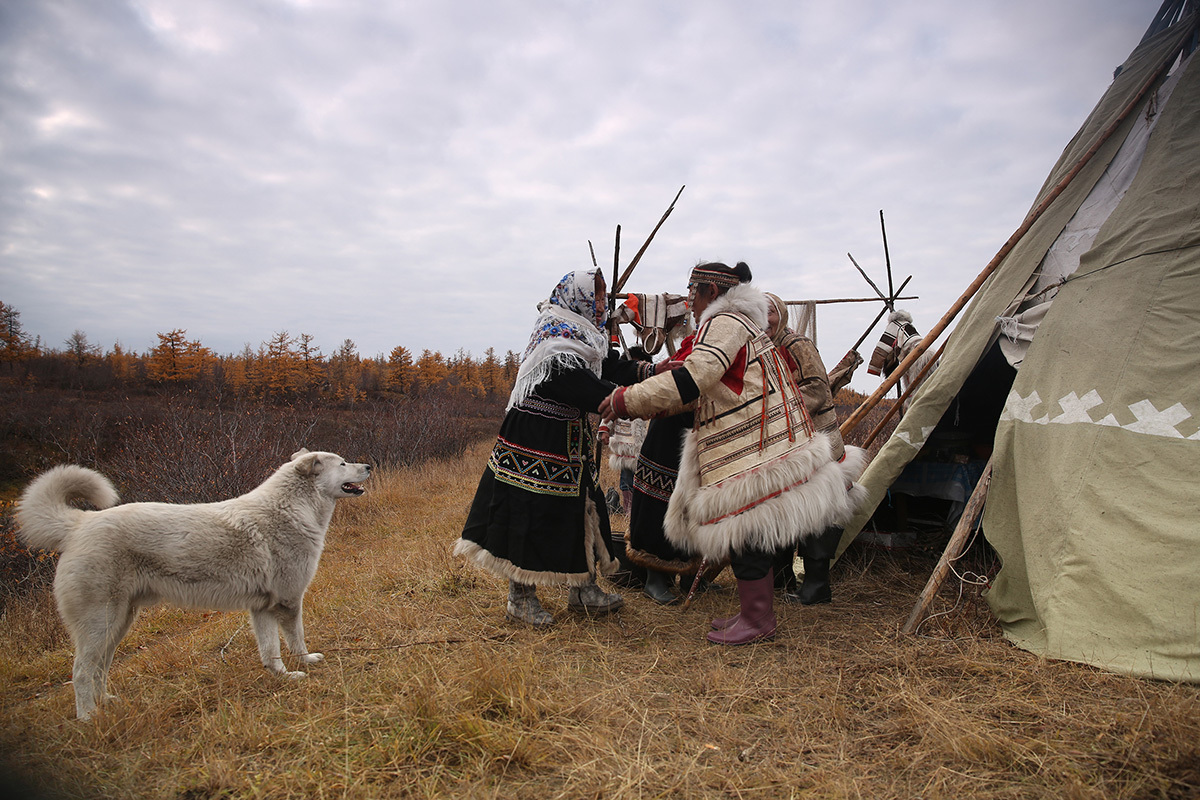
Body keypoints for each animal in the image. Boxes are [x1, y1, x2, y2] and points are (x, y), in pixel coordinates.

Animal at [14, 450, 369, 719]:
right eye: (342, 463)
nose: (367, 466)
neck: (292, 510)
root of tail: (80, 523)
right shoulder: (288, 602)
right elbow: (296, 641)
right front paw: (306, 663)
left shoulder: (262, 609)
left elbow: (271, 652)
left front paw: (283, 677)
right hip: (100, 623)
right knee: (80, 672)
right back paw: (88, 717)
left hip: (117, 625)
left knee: (99, 667)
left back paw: (106, 704)